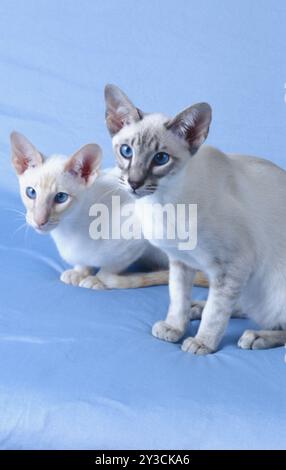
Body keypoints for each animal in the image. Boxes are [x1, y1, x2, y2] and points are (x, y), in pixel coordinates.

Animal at [10, 131, 208, 290]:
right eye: (31, 193)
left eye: (60, 197)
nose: (39, 221)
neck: (68, 230)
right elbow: (83, 263)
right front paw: (79, 272)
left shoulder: (138, 235)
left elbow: (110, 267)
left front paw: (99, 280)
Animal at [104, 83, 286, 352]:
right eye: (126, 151)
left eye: (161, 158)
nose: (134, 183)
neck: (162, 203)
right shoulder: (180, 261)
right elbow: (178, 298)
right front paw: (175, 328)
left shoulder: (233, 267)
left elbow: (216, 312)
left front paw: (202, 343)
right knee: (247, 308)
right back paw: (196, 308)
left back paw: (255, 336)